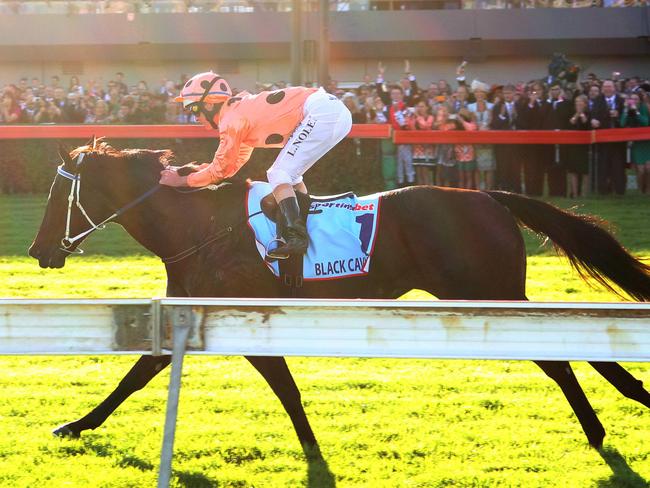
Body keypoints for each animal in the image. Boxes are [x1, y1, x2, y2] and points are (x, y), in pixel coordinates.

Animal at [29, 139, 648, 456]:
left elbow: (285, 389)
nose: (38, 250)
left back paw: (605, 424)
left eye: (59, 193)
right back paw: (621, 403)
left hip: (487, 291)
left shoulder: (247, 318)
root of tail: (490, 196)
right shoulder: (186, 315)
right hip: (496, 293)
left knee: (557, 357)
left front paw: (312, 451)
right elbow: (137, 373)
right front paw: (75, 426)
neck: (199, 227)